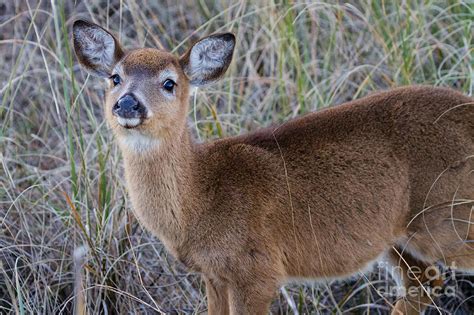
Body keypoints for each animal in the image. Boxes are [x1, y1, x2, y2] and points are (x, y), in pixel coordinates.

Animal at [72, 20, 474, 315]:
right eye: (115, 77)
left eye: (169, 83)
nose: (127, 104)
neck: (201, 196)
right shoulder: (214, 275)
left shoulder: (258, 271)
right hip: (399, 238)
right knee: (423, 286)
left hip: (447, 218)